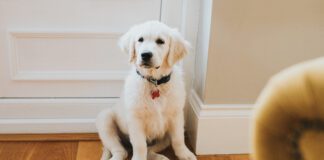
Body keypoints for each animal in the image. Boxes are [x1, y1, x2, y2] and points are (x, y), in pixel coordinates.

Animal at [95, 21, 196, 160]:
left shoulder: (176, 116)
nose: (145, 54)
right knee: (121, 151)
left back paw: (161, 157)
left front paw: (185, 154)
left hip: (164, 138)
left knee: (150, 150)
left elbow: (178, 139)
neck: (154, 82)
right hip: (105, 119)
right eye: (140, 40)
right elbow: (140, 145)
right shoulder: (135, 120)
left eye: (160, 41)